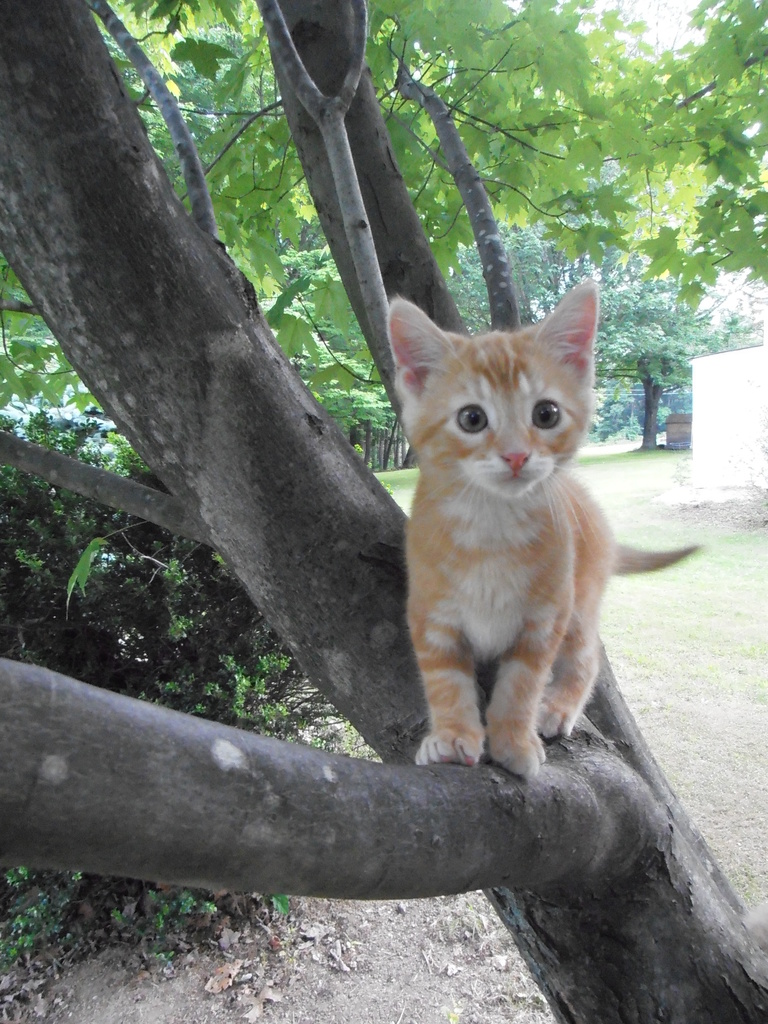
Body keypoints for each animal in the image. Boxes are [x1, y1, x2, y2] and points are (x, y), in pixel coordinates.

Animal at [391, 280, 696, 774]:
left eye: (546, 414)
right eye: (472, 418)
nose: (516, 455)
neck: (493, 529)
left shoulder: (545, 619)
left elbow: (522, 686)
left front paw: (514, 740)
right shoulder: (430, 614)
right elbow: (444, 681)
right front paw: (452, 736)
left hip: (580, 600)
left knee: (588, 658)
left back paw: (558, 706)